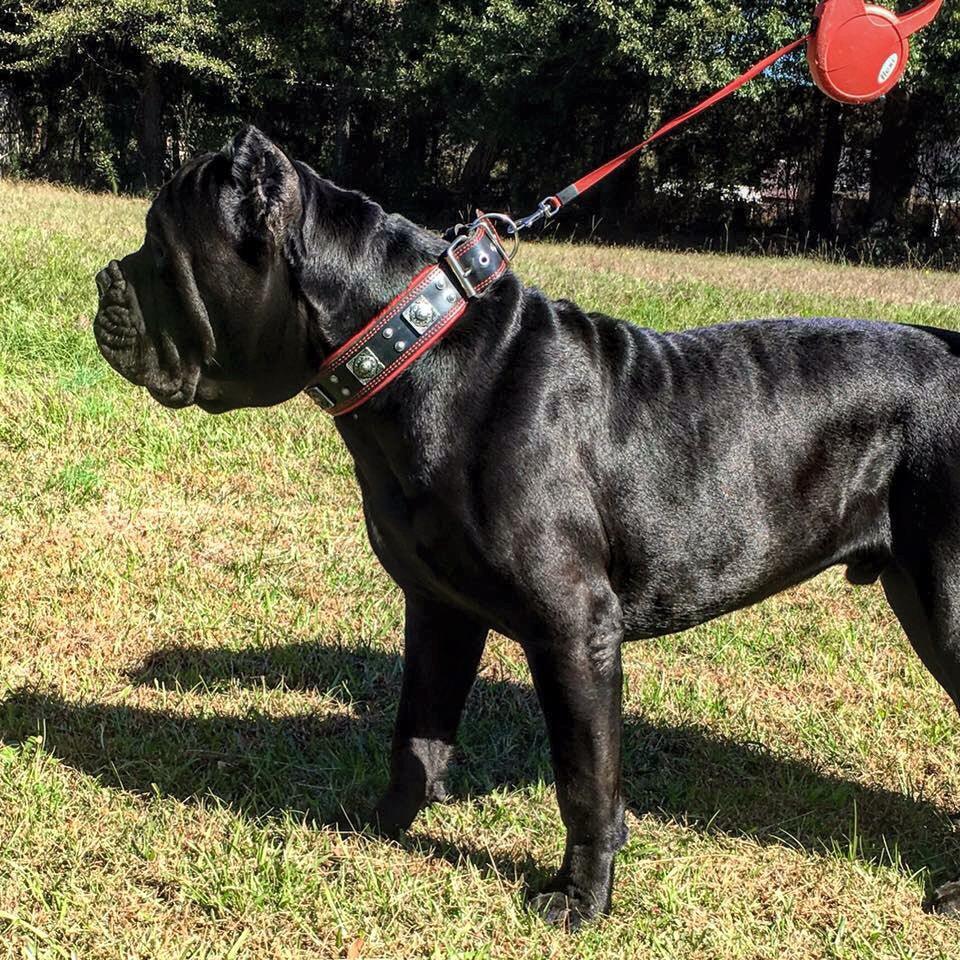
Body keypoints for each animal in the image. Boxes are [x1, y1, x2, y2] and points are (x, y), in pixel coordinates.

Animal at [94, 127, 960, 928]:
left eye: (159, 245)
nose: (103, 281)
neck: (411, 348)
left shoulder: (574, 629)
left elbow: (584, 783)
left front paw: (581, 900)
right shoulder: (438, 610)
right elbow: (417, 735)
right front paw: (376, 828)